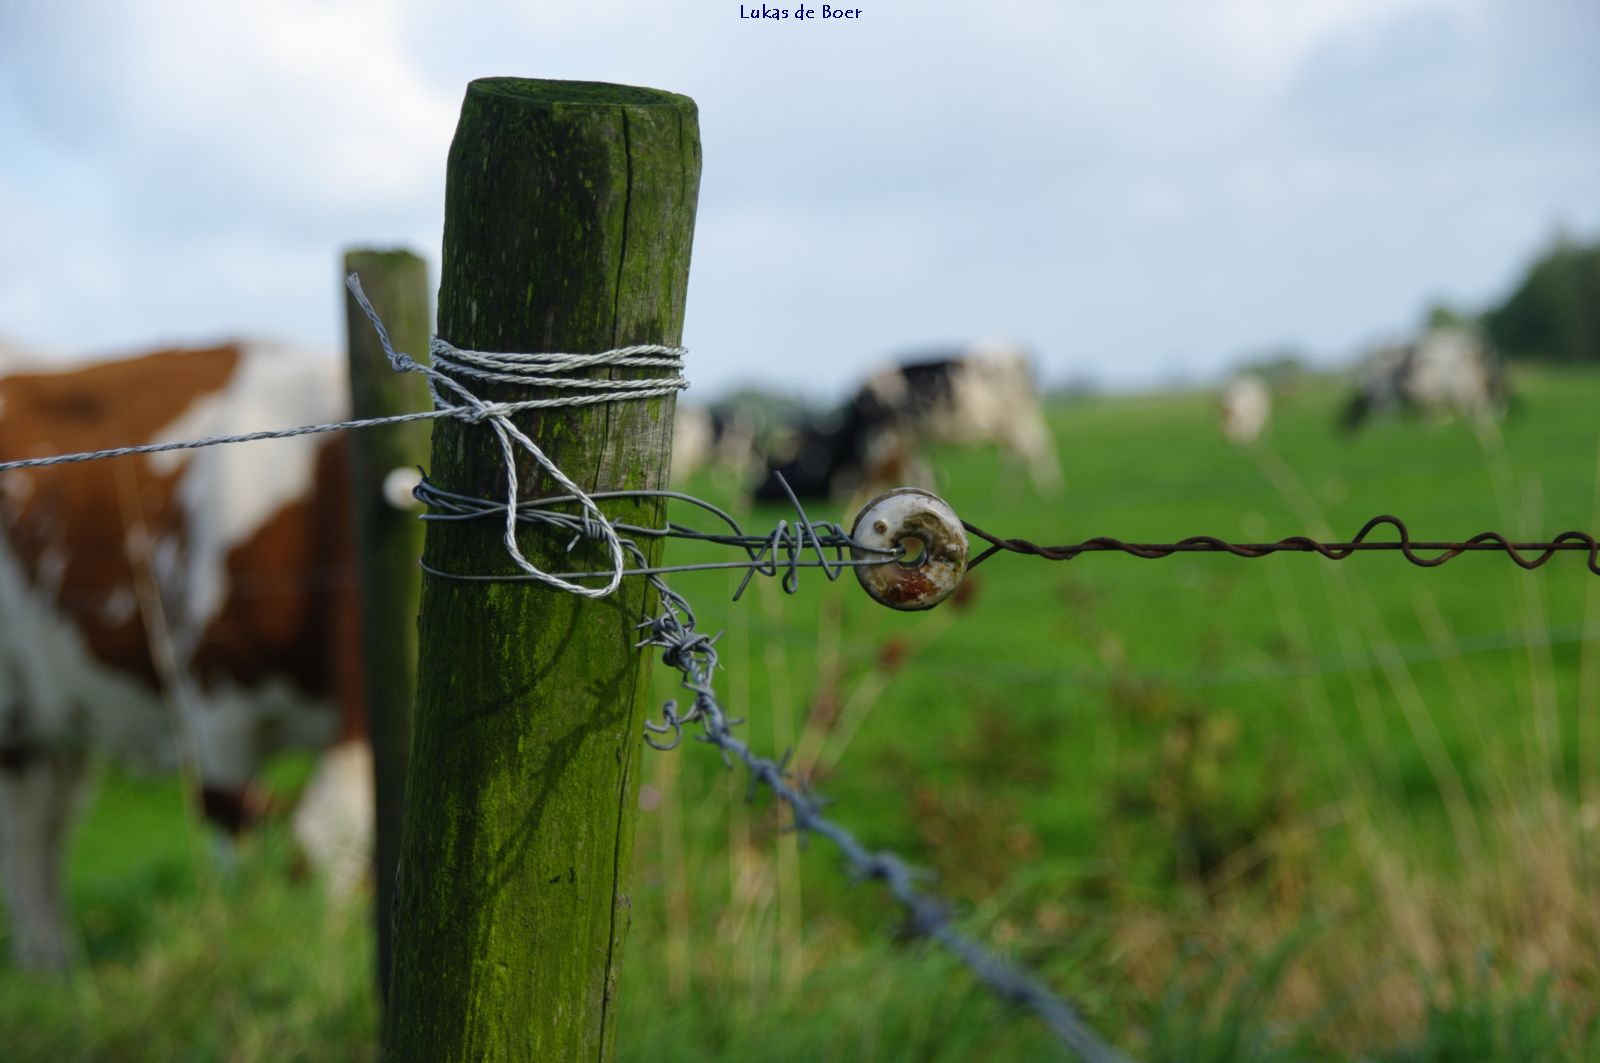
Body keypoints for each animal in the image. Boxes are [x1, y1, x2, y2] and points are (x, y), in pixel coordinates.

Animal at [0, 342, 373, 970]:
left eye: (373, 880)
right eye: (297, 879)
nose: (322, 972)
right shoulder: (216, 708)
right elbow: (232, 847)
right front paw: (243, 933)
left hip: (56, 711)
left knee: (48, 817)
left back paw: (57, 963)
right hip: (12, 709)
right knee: (24, 829)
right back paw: (42, 962)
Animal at [755, 343, 1060, 502]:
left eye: (780, 466)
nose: (755, 493)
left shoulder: (892, 434)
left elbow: (906, 470)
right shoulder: (912, 439)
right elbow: (918, 470)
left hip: (1016, 416)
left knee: (1034, 445)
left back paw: (1041, 492)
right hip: (1010, 422)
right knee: (1021, 450)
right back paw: (1014, 492)